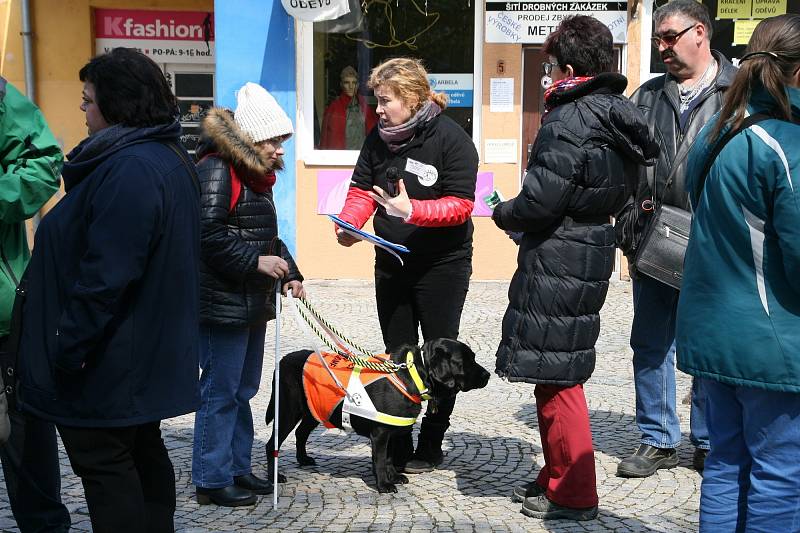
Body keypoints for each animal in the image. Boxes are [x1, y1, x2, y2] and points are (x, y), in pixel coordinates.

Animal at [264, 338, 488, 492]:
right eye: (466, 360)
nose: (487, 375)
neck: (413, 373)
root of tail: (282, 361)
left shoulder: (390, 431)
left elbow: (388, 458)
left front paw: (393, 477)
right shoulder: (380, 433)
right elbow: (380, 460)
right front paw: (384, 485)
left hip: (317, 409)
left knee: (301, 433)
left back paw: (303, 459)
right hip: (287, 411)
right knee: (271, 444)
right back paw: (275, 477)